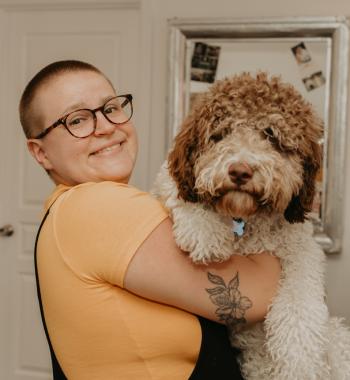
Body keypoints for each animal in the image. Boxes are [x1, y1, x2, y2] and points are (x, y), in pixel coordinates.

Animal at [154, 72, 350, 380]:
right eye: (221, 133)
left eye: (270, 135)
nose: (239, 171)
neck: (246, 221)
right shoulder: (170, 182)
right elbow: (175, 187)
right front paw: (205, 231)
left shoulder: (302, 250)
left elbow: (300, 301)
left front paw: (299, 362)